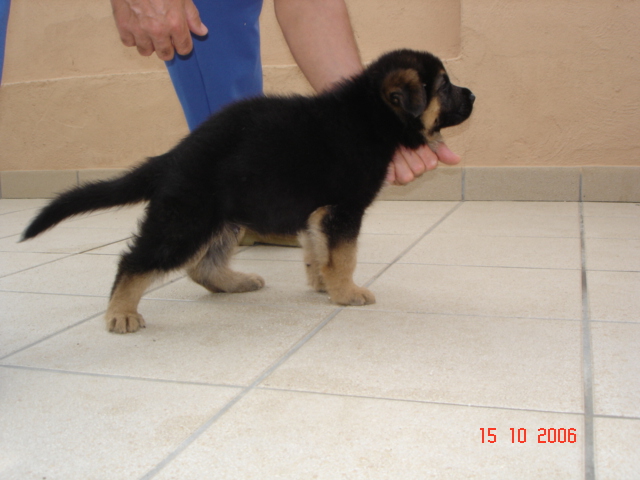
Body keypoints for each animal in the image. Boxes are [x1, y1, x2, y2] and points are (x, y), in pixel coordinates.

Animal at [22, 49, 475, 333]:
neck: (370, 114)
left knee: (201, 267)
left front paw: (323, 283)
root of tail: (174, 155)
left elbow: (318, 252)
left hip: (223, 219)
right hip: (186, 219)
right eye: (445, 86)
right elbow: (343, 256)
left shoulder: (318, 214)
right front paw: (347, 293)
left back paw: (234, 282)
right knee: (134, 261)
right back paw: (120, 313)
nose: (473, 93)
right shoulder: (343, 209)